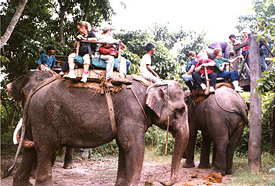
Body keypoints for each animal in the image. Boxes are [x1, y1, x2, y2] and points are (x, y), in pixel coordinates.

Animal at [7, 70, 191, 186]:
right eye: (181, 110)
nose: (161, 181)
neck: (151, 84)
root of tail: (34, 91)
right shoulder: (131, 111)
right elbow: (133, 146)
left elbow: (123, 146)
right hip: (45, 116)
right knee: (45, 150)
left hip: (35, 118)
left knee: (31, 149)